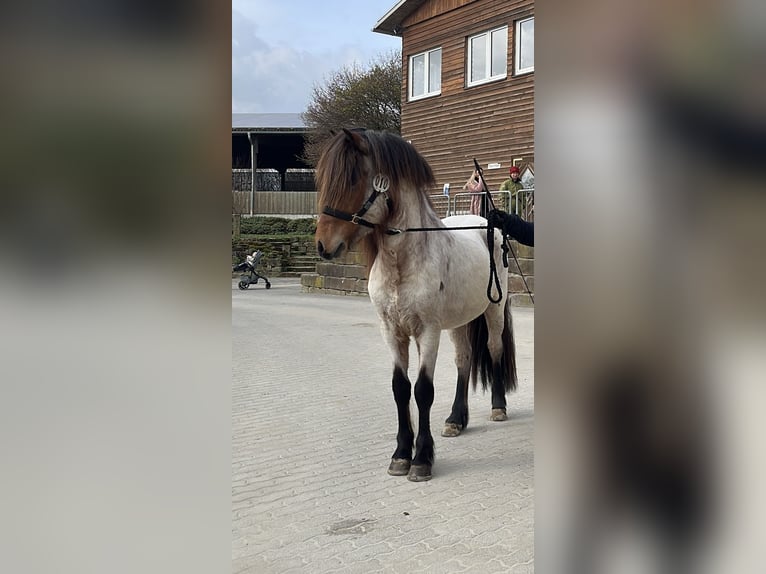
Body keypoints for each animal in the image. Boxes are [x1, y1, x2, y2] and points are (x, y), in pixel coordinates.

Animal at [314, 128, 517, 481]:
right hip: (460, 320)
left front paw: (421, 459)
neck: (402, 262)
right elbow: (400, 388)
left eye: (352, 178)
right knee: (464, 359)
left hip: (493, 309)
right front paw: (400, 455)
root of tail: (487, 223)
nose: (324, 245)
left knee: (493, 350)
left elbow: (423, 390)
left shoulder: (428, 332)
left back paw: (497, 407)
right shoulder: (391, 331)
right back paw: (456, 420)